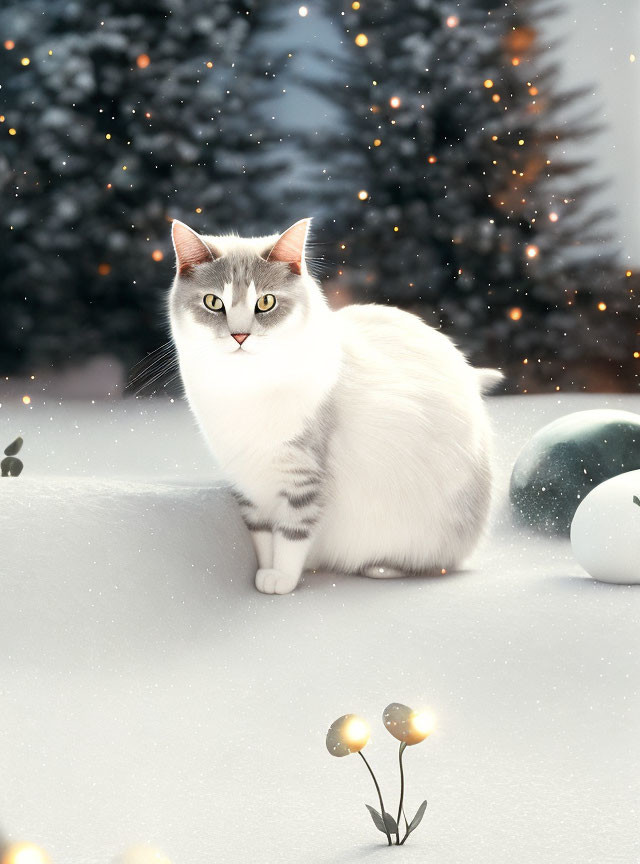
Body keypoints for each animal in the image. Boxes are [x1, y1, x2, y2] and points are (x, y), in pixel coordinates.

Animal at [169, 218, 500, 592]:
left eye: (266, 302)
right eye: (213, 302)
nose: (240, 336)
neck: (244, 390)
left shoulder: (306, 476)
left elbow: (292, 535)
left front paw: (282, 579)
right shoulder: (247, 483)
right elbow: (263, 537)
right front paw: (265, 573)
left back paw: (381, 568)